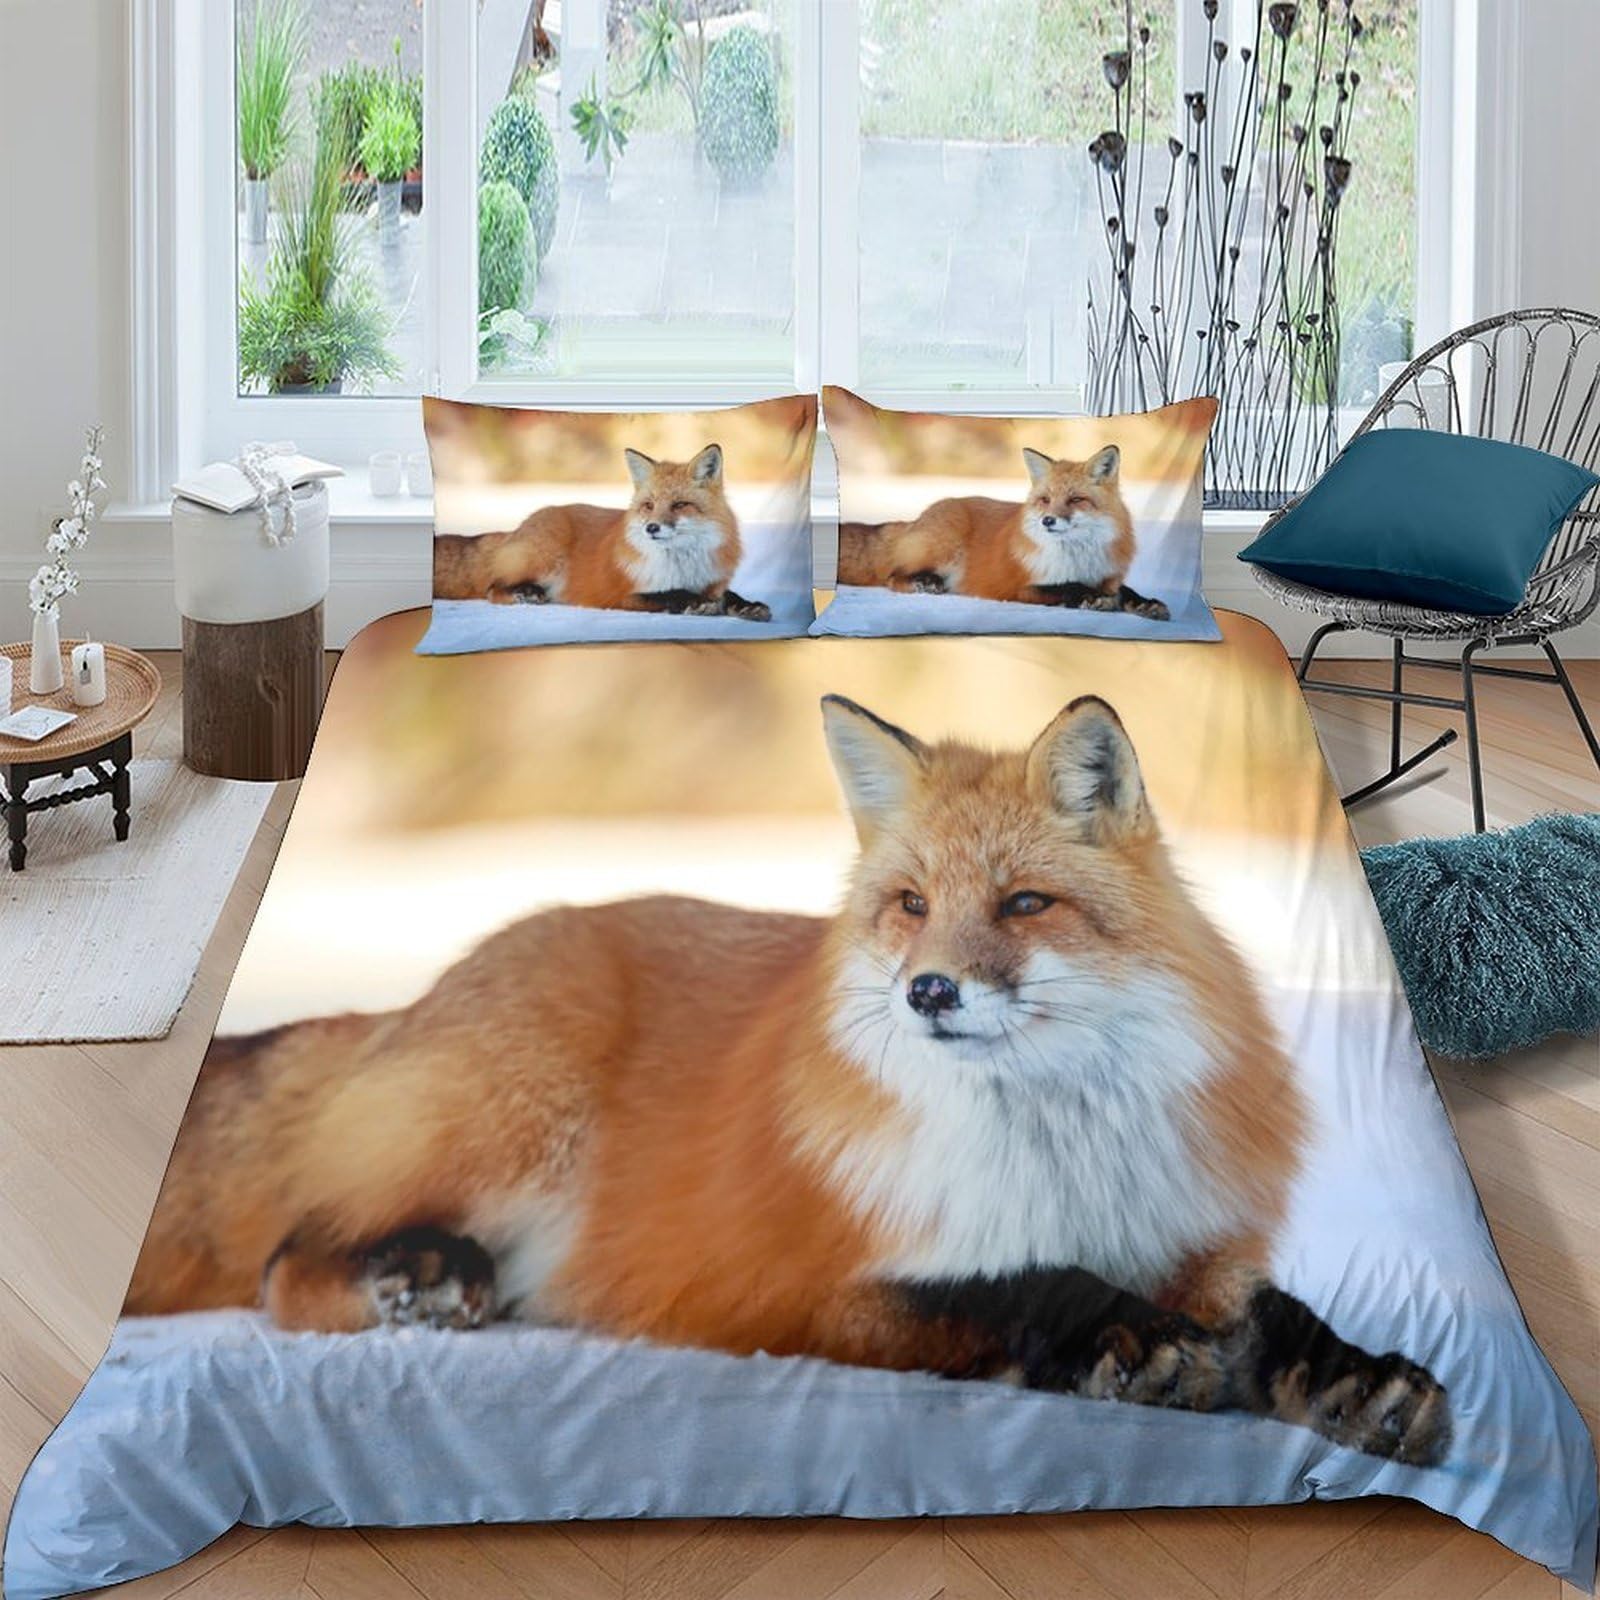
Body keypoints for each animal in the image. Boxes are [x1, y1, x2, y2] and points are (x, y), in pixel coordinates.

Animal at [127, 695, 1448, 1465]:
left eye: (1023, 903)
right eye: (910, 905)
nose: (928, 991)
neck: (1053, 1148)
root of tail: (420, 994)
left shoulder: (1195, 1246)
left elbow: (1278, 1317)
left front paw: (1358, 1376)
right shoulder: (818, 1289)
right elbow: (1028, 1287)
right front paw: (1122, 1333)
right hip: (513, 1123)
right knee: (287, 1262)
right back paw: (416, 1280)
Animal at [434, 442, 771, 620]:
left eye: (679, 505)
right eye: (649, 505)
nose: (651, 528)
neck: (682, 564)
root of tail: (517, 528)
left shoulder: (712, 582)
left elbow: (728, 594)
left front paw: (748, 605)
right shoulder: (624, 596)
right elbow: (669, 594)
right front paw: (694, 602)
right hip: (544, 556)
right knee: (493, 588)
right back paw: (525, 594)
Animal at [838, 445, 1170, 620]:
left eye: (1076, 500)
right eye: (1045, 499)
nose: (1047, 521)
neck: (1078, 557)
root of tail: (917, 518)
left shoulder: (1108, 577)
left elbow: (1125, 591)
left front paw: (1146, 603)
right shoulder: (1022, 588)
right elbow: (1069, 586)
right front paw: (1091, 597)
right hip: (945, 546)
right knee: (892, 576)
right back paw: (925, 583)